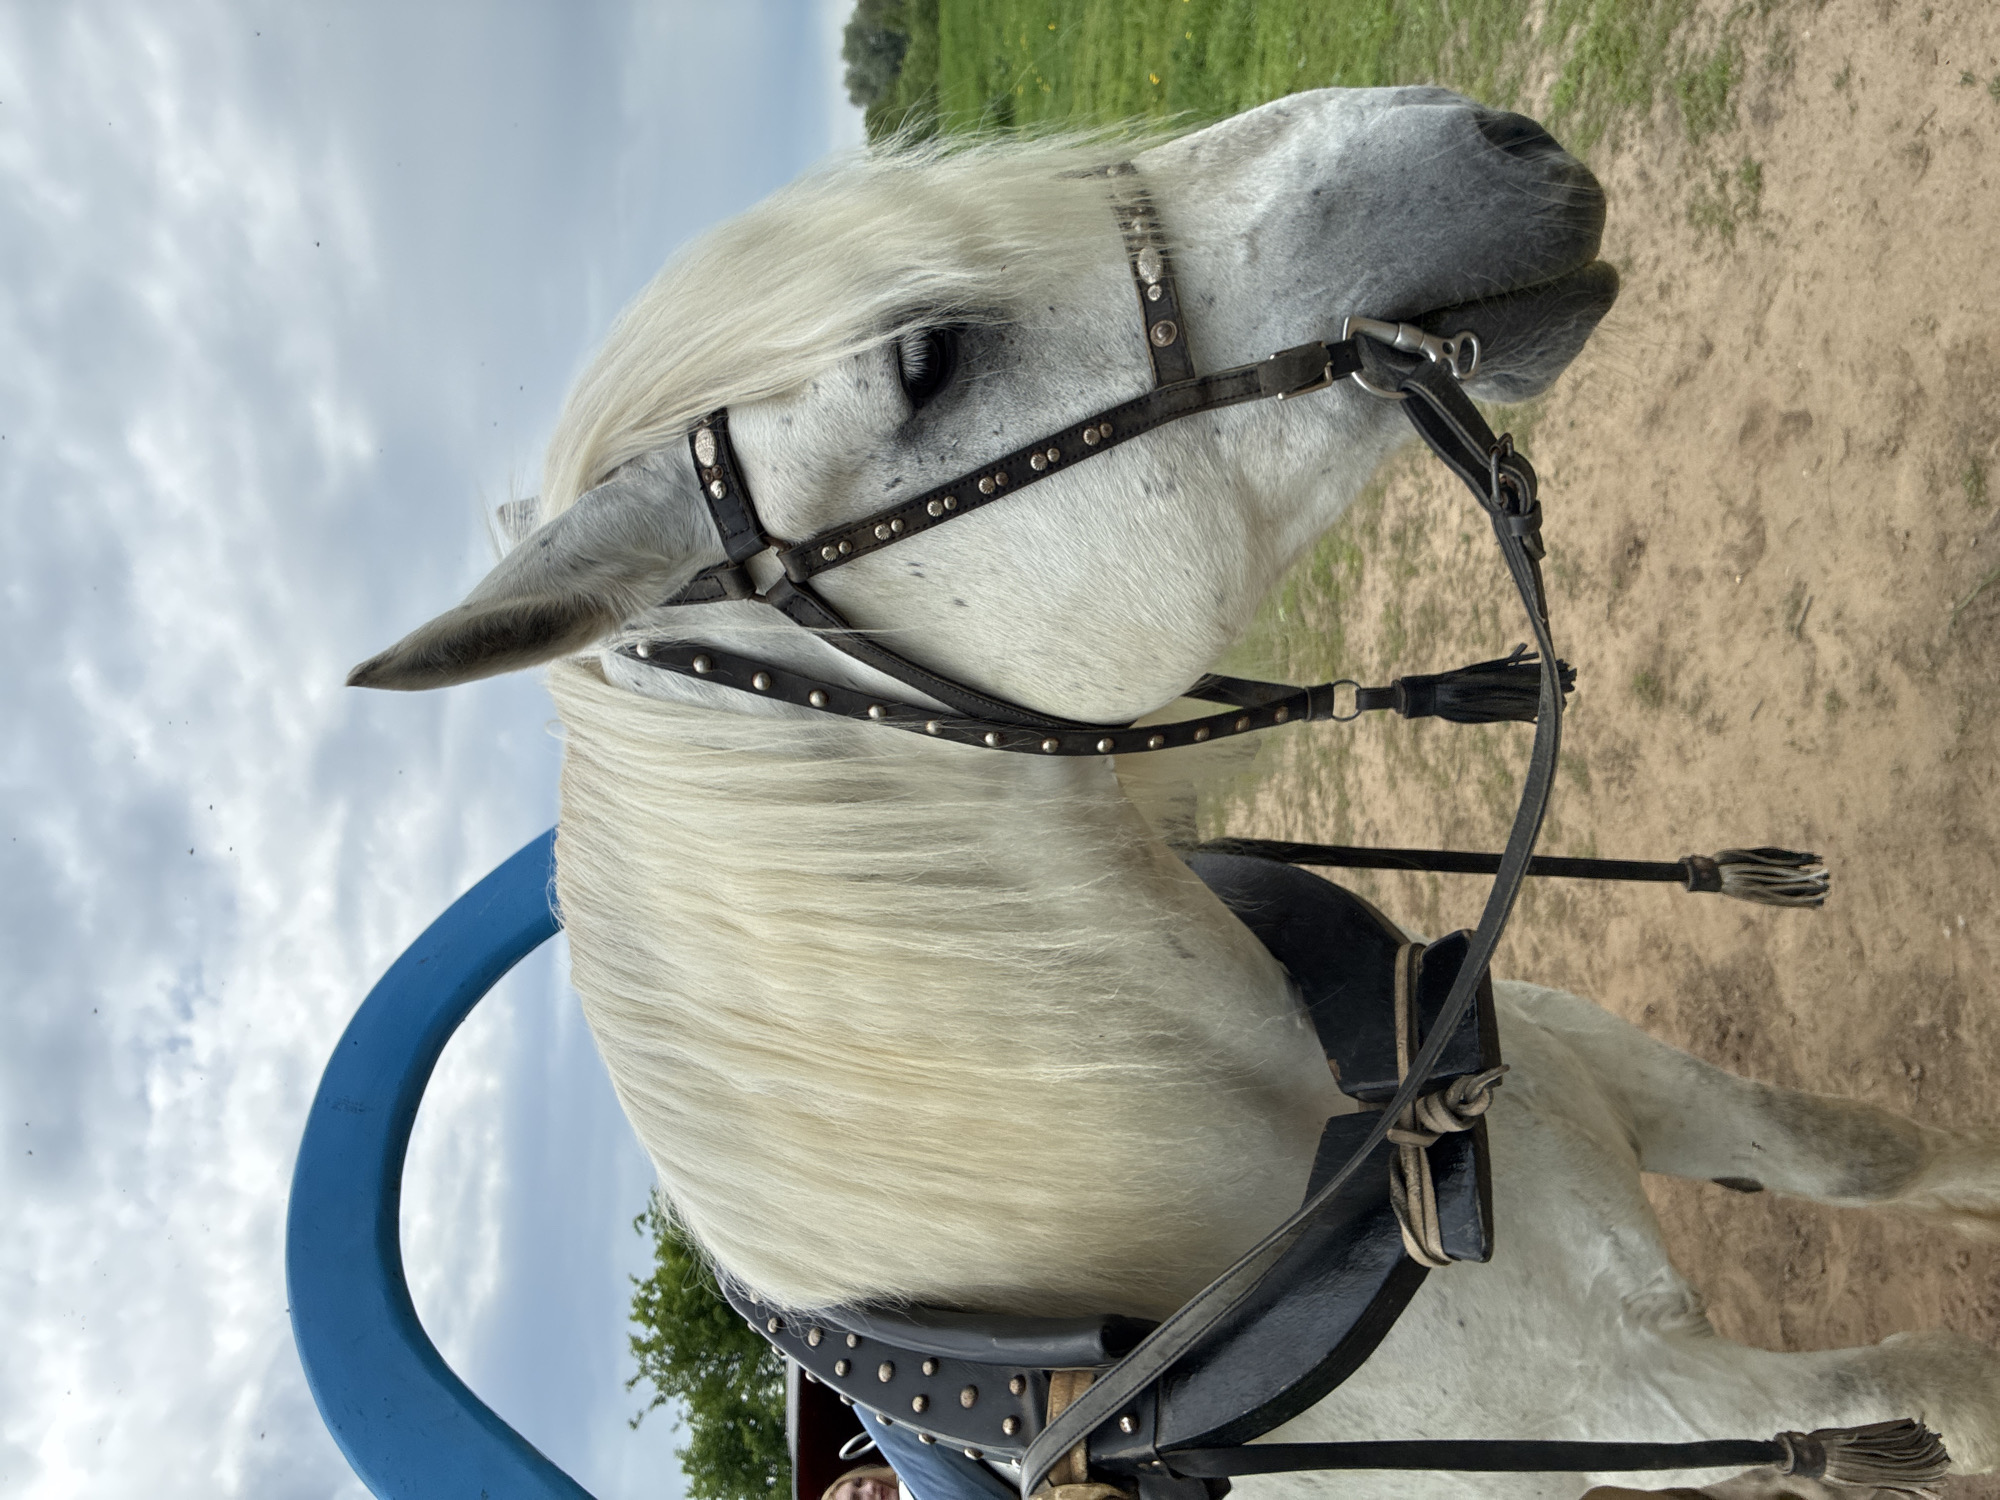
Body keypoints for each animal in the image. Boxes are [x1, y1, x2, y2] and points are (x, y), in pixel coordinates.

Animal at [347, 88, 2000, 1499]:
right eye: (930, 358)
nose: (1495, 135)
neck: (1289, 1144)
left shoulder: (1627, 1079)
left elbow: (1876, 1152)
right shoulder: (1650, 1402)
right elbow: (1945, 1382)